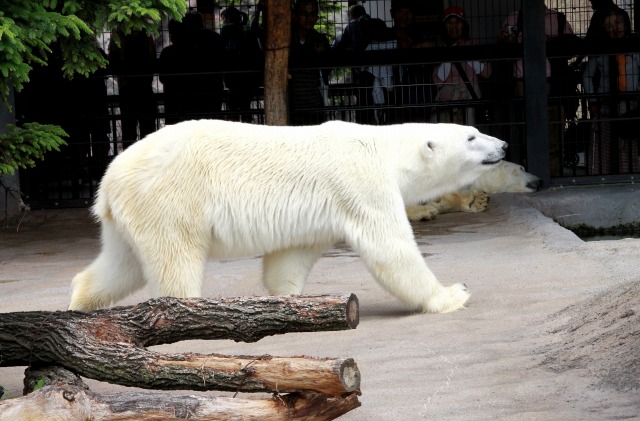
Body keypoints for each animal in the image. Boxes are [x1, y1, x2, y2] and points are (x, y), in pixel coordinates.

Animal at [70, 120, 508, 314]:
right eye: (471, 137)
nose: (503, 144)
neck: (381, 146)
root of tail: (108, 182)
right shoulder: (361, 182)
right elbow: (391, 249)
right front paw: (453, 293)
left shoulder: (325, 207)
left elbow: (291, 255)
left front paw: (287, 299)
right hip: (170, 200)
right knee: (175, 261)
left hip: (130, 217)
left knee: (121, 265)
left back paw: (79, 303)